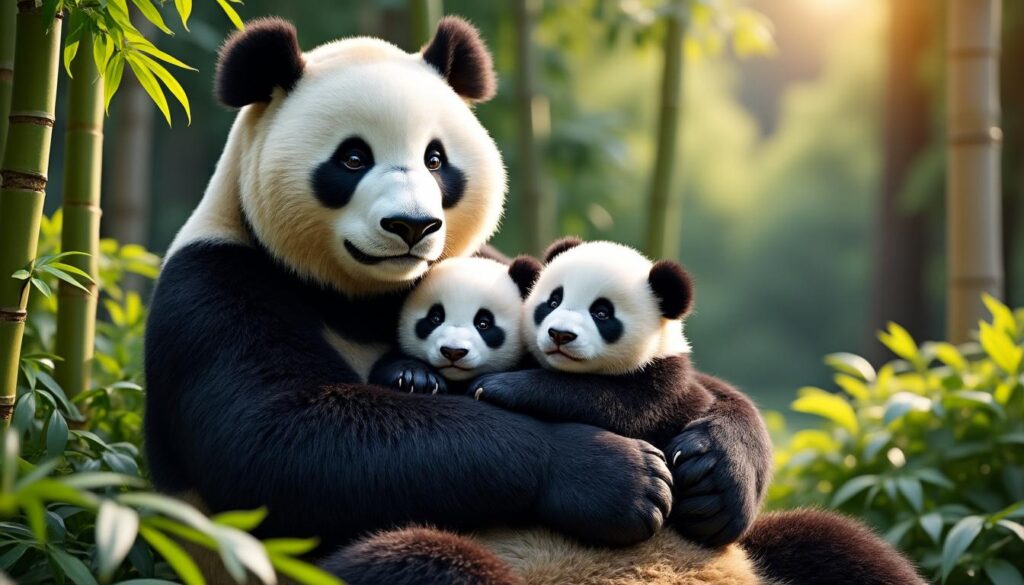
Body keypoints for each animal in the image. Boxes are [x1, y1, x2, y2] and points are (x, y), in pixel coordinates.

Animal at [143, 15, 927, 585]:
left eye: (436, 159)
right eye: (352, 158)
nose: (413, 226)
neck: (361, 297)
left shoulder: (497, 263)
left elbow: (699, 387)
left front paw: (716, 470)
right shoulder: (214, 289)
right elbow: (281, 441)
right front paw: (610, 475)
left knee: (835, 544)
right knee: (420, 561)